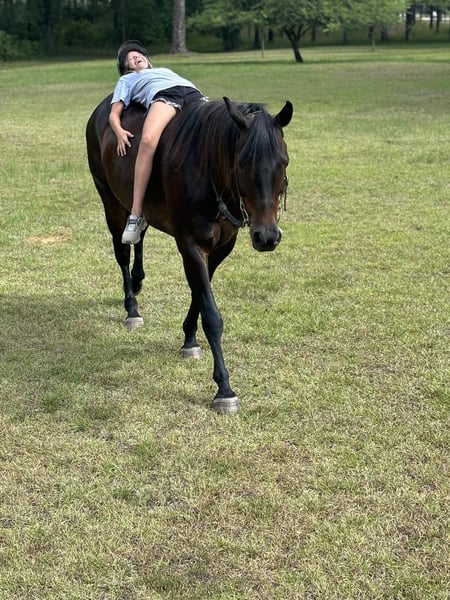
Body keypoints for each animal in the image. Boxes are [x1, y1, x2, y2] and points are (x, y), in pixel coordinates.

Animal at [86, 95, 293, 413]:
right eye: (243, 162)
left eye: (283, 161)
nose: (267, 236)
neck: (208, 166)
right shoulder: (191, 244)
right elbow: (211, 314)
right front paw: (224, 388)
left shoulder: (221, 247)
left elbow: (200, 292)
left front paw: (189, 339)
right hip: (110, 201)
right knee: (121, 251)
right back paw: (131, 307)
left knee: (139, 233)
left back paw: (138, 279)